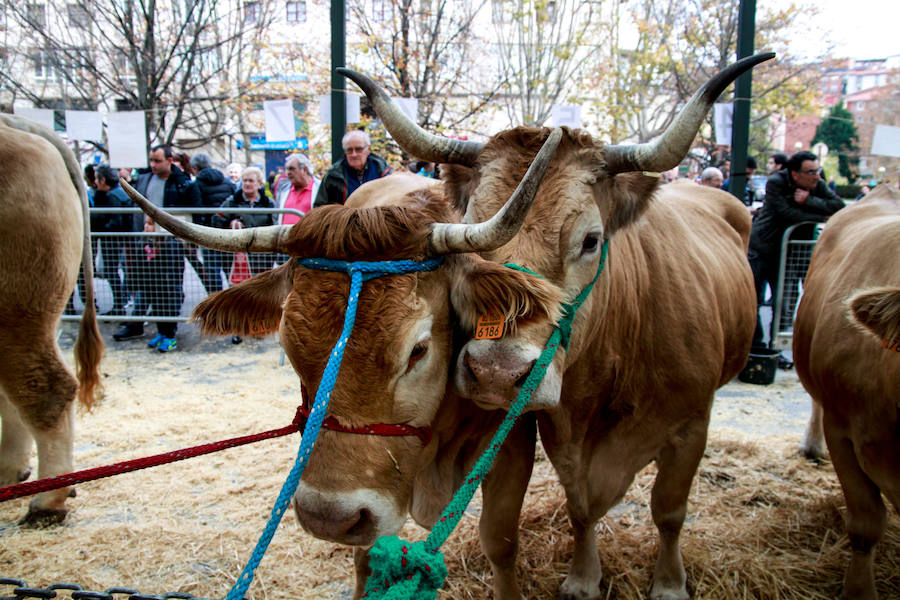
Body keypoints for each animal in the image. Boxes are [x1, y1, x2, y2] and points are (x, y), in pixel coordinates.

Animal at [344, 54, 768, 596]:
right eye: (467, 233)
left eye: (591, 240)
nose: (497, 373)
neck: (616, 367)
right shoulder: (563, 436)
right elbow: (580, 507)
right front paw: (585, 577)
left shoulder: (692, 426)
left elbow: (669, 511)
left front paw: (669, 582)